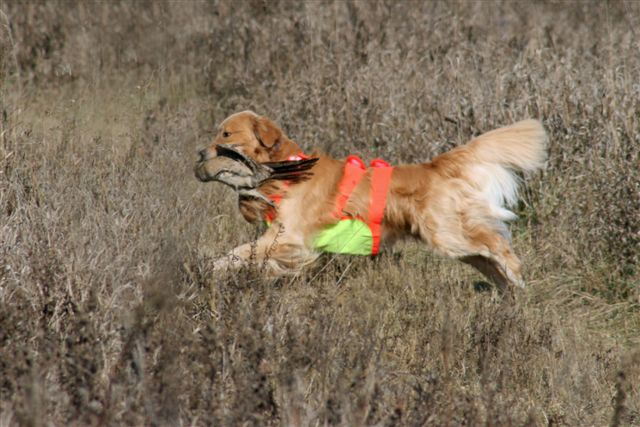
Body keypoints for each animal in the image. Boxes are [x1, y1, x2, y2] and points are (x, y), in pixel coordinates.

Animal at [195, 110, 544, 290]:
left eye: (226, 134)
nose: (199, 154)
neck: (286, 169)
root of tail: (434, 165)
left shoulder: (291, 236)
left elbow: (242, 251)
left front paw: (214, 267)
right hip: (457, 244)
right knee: (488, 258)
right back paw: (509, 292)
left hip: (447, 235)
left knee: (495, 243)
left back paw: (515, 274)